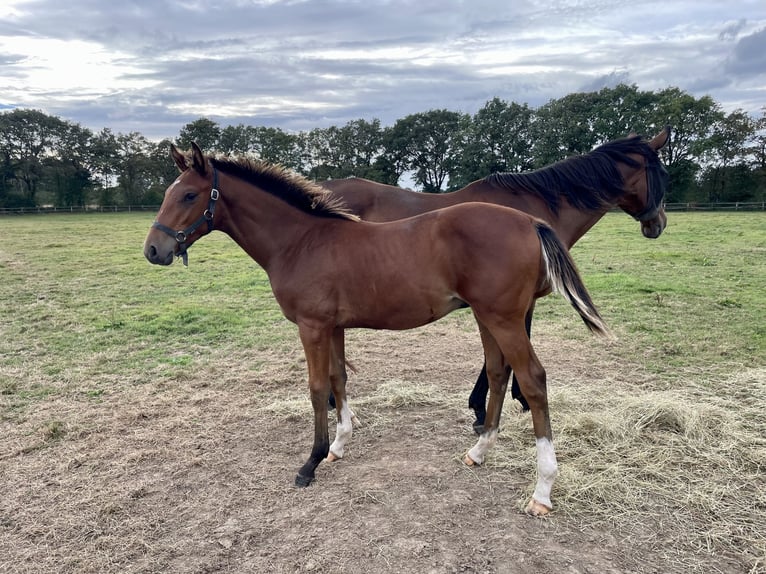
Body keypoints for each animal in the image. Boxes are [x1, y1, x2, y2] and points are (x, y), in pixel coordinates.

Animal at [144, 143, 612, 516]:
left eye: (189, 194)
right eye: (167, 193)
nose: (153, 250)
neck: (301, 241)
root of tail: (529, 222)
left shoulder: (312, 327)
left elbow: (317, 388)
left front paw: (310, 463)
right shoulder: (333, 327)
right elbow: (338, 378)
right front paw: (338, 447)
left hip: (505, 319)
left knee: (533, 380)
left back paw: (542, 491)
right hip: (487, 317)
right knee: (498, 373)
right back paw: (478, 453)